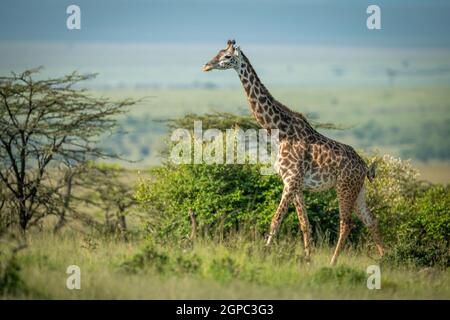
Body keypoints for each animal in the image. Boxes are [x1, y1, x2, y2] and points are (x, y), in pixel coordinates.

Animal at [202, 40, 384, 264]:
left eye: (227, 56)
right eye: (218, 52)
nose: (206, 66)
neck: (280, 132)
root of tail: (365, 167)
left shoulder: (290, 182)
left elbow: (275, 221)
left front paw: (264, 254)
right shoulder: (295, 185)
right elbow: (305, 224)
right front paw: (307, 260)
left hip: (345, 187)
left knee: (346, 223)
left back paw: (333, 263)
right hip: (359, 190)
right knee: (371, 220)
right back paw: (386, 258)